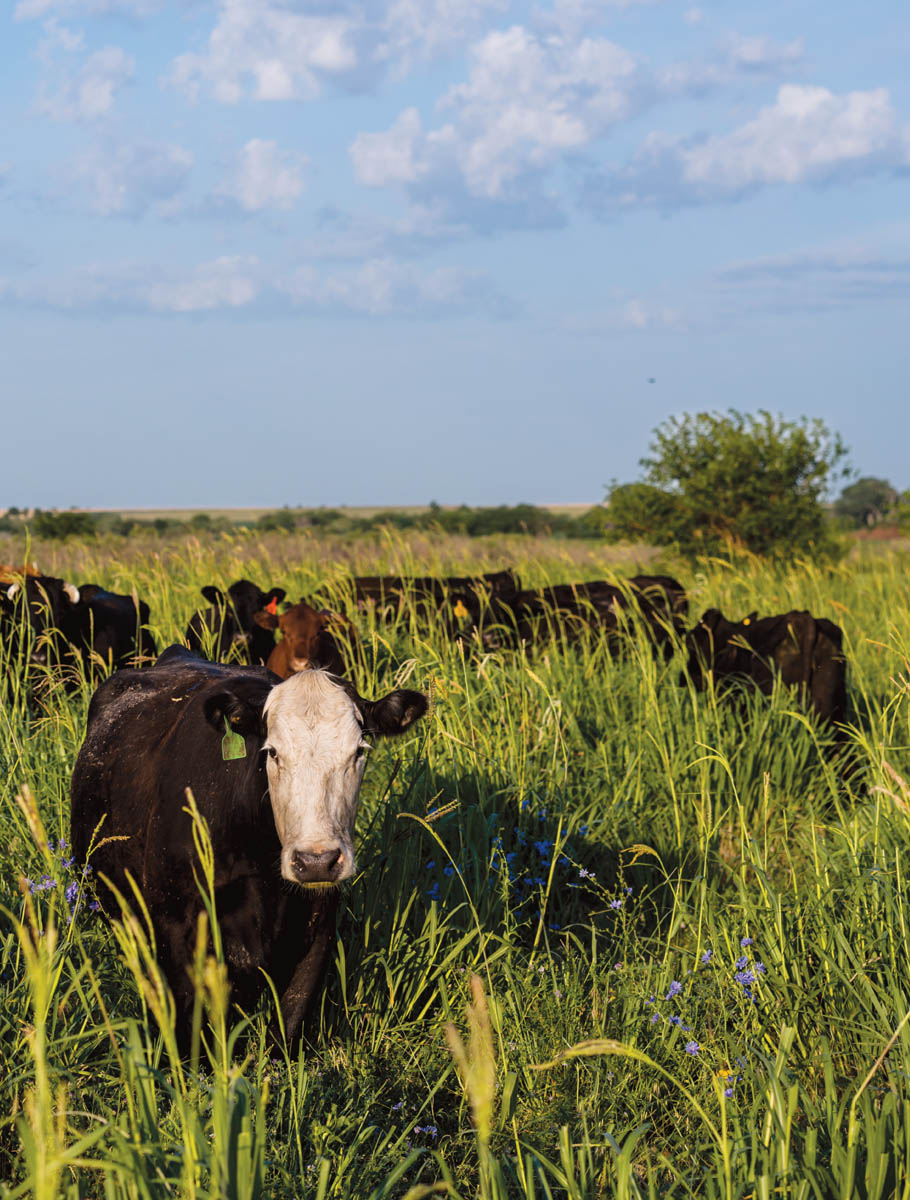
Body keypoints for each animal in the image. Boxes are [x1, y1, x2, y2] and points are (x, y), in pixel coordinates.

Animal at [69, 643, 429, 1046]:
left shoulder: (317, 933)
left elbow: (286, 1032)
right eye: (272, 752)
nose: (316, 860)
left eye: (359, 751)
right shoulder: (174, 933)